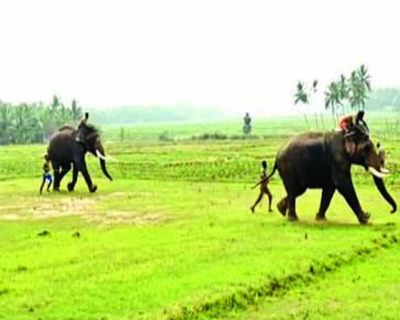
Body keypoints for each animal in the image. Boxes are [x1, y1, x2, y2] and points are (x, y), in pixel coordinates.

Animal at [268, 112, 396, 225]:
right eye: (367, 148)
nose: (391, 211)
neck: (345, 133)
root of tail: (277, 156)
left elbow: (330, 188)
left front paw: (321, 219)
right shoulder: (338, 157)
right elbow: (343, 184)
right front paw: (365, 219)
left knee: (297, 190)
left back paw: (281, 209)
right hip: (288, 168)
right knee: (293, 189)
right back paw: (292, 218)